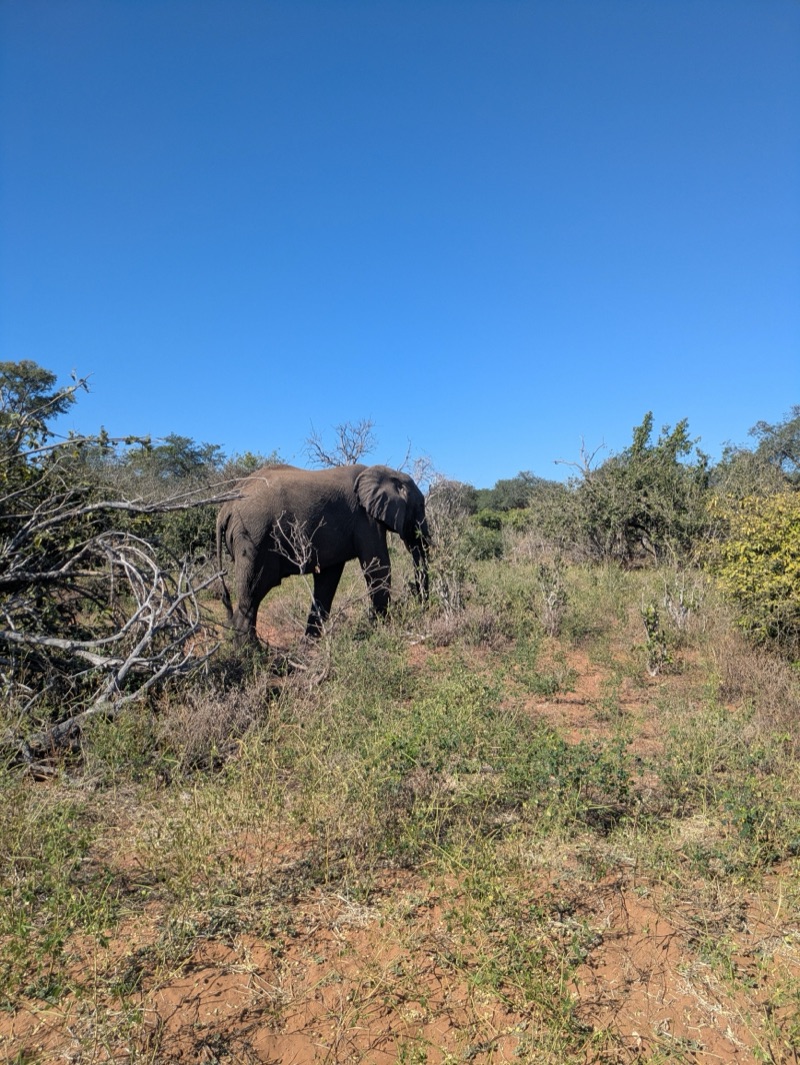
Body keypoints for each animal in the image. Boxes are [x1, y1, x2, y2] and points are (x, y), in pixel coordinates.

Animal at [216, 463, 429, 642]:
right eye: (421, 506)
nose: (422, 605)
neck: (384, 471)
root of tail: (225, 508)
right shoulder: (365, 520)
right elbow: (378, 566)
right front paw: (380, 629)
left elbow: (328, 580)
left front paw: (310, 645)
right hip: (254, 538)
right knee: (253, 592)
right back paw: (252, 652)